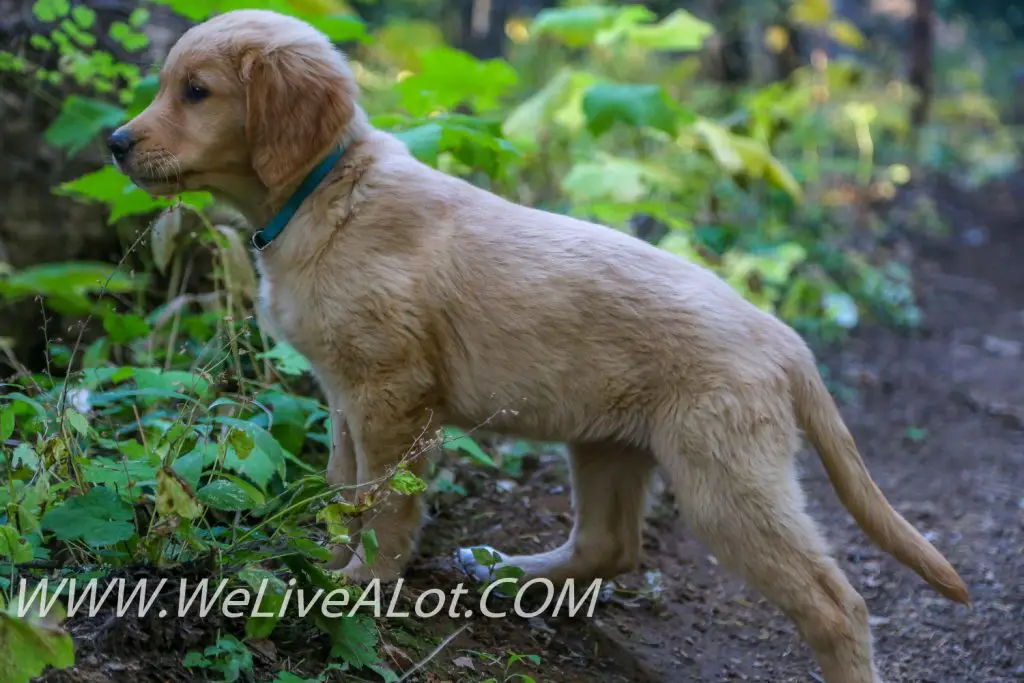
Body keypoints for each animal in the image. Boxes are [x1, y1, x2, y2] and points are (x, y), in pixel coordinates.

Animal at [112, 10, 966, 683]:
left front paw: (363, 583)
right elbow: (341, 489)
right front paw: (324, 567)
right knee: (608, 545)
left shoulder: (393, 395)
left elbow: (387, 502)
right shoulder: (345, 394)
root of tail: (785, 337)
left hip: (725, 478)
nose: (116, 142)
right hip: (608, 443)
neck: (327, 191)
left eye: (196, 92)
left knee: (834, 602)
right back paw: (503, 570)